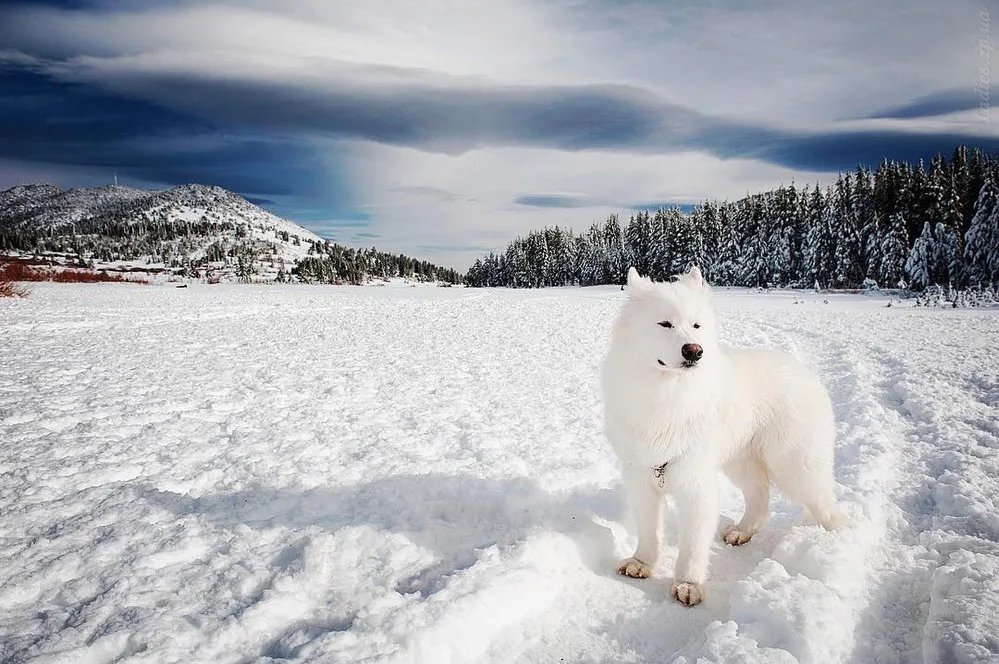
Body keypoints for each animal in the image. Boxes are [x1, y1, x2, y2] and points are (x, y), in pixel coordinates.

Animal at [600, 266, 844, 608]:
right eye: (665, 324)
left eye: (696, 325)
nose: (694, 350)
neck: (667, 394)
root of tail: (804, 372)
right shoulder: (643, 476)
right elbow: (649, 531)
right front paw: (642, 563)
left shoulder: (696, 482)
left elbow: (692, 545)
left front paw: (688, 585)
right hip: (741, 463)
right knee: (760, 499)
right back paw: (741, 531)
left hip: (794, 466)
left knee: (826, 504)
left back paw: (839, 538)